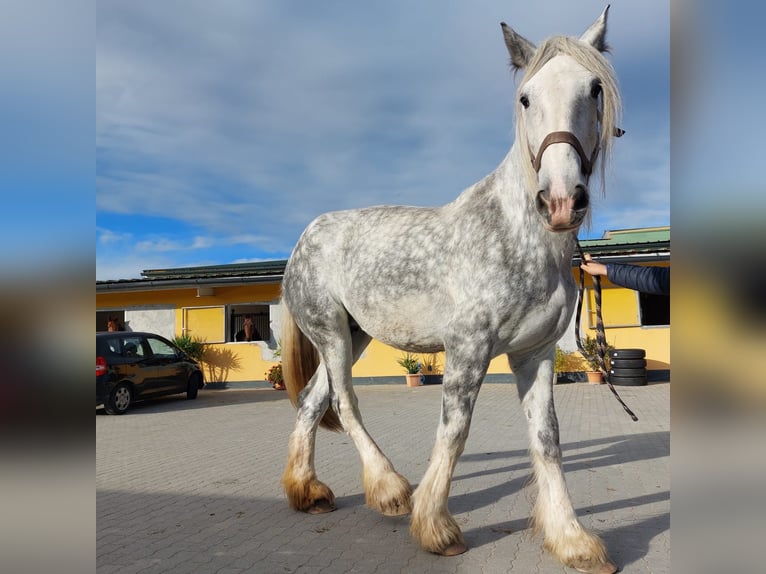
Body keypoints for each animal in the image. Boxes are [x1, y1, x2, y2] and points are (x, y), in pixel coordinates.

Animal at [280, 6, 621, 573]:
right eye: (525, 97)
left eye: (594, 88)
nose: (560, 200)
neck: (516, 236)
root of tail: (305, 238)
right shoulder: (467, 349)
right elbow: (455, 431)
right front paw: (436, 528)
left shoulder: (536, 354)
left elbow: (547, 440)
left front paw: (572, 539)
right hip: (329, 334)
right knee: (345, 404)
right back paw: (390, 490)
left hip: (352, 337)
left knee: (310, 401)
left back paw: (308, 492)